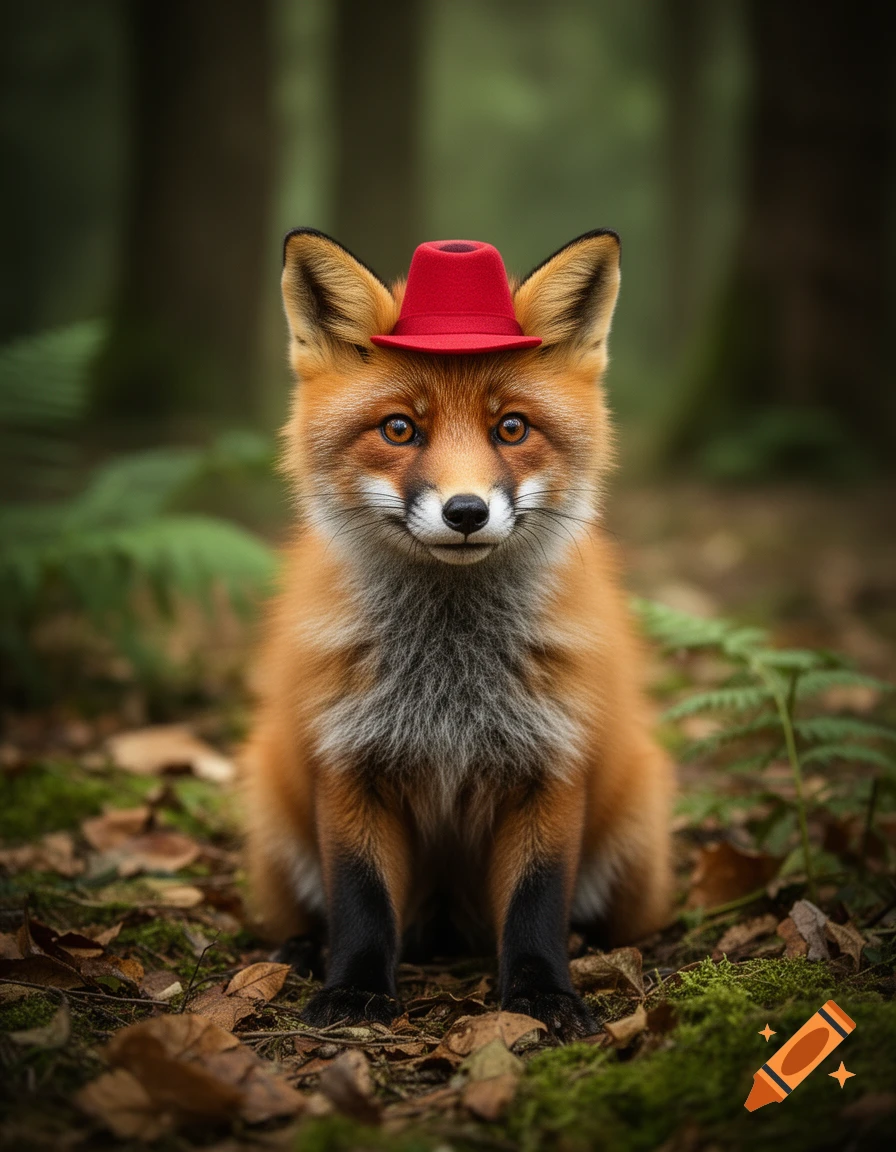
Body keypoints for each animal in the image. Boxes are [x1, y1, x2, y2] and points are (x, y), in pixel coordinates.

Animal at [242, 228, 673, 1039]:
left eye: (512, 428)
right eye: (399, 429)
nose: (467, 512)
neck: (448, 682)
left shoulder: (552, 764)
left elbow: (536, 903)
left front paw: (543, 995)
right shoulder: (348, 763)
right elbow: (361, 901)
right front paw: (354, 991)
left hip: (634, 823)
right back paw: (299, 951)